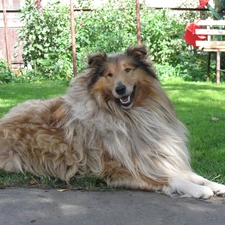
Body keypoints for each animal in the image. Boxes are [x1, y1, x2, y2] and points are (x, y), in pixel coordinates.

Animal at [0, 44, 225, 198]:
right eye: (109, 74)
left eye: (128, 70)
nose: (120, 89)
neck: (131, 116)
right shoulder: (122, 170)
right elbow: (174, 178)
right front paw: (198, 191)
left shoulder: (156, 159)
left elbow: (193, 175)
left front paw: (216, 186)